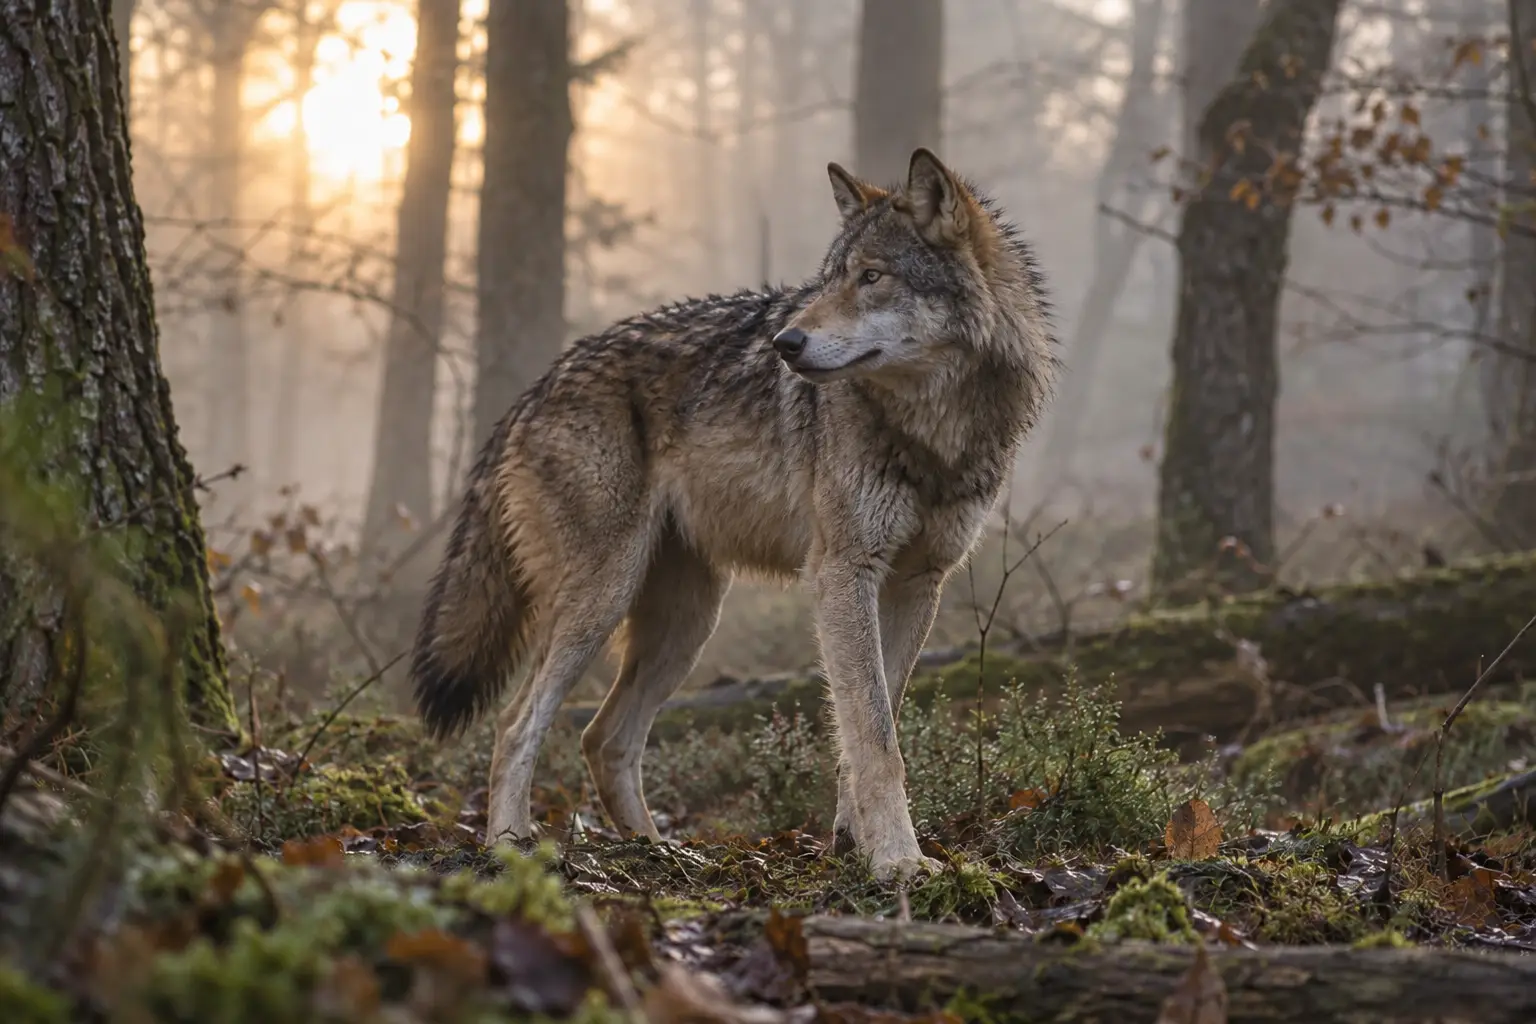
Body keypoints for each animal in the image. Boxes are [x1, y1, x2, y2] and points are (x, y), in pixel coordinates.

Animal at [410, 148, 1057, 880]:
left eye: (871, 277)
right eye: (828, 279)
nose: (786, 342)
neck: (934, 429)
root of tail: (532, 390)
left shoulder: (919, 584)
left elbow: (870, 728)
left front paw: (852, 845)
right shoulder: (844, 573)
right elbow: (875, 739)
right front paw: (899, 861)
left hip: (687, 623)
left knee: (603, 737)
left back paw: (659, 852)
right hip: (601, 601)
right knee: (517, 723)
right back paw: (511, 846)